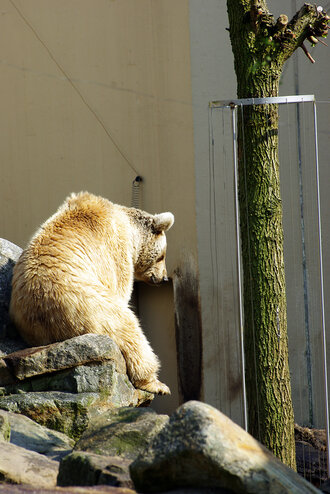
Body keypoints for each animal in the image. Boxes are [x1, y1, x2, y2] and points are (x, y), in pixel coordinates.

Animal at [9, 191, 174, 396]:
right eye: (162, 256)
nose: (164, 278)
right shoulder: (114, 250)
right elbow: (121, 287)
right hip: (92, 306)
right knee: (129, 329)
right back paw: (156, 383)